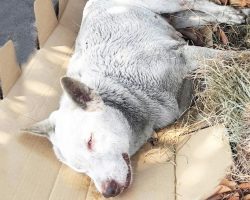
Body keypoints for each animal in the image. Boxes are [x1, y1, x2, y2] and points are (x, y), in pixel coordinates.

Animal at [24, 0, 247, 197]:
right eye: (79, 168)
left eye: (90, 141)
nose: (109, 192)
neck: (124, 87)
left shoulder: (182, 56)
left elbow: (228, 56)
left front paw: (243, 59)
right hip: (172, 18)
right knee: (192, 16)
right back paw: (235, 15)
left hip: (164, 4)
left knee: (192, 3)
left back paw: (232, 14)